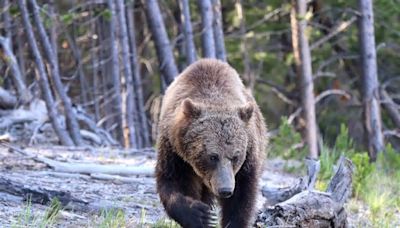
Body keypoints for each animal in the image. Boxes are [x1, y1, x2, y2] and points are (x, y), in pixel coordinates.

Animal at [155, 59, 266, 228]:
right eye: (213, 156)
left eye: (235, 157)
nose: (225, 190)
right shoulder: (174, 152)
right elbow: (172, 181)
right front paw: (199, 215)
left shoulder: (248, 158)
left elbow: (242, 197)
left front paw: (231, 222)